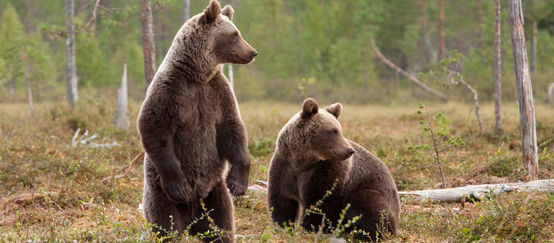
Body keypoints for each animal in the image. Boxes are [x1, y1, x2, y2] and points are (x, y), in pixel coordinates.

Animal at [266, 98, 396, 240]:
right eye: (333, 131)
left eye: (340, 130)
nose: (349, 150)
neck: (303, 160)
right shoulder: (285, 166)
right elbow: (283, 200)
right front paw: (283, 226)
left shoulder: (326, 170)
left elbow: (320, 200)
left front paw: (311, 228)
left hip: (370, 187)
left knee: (369, 206)